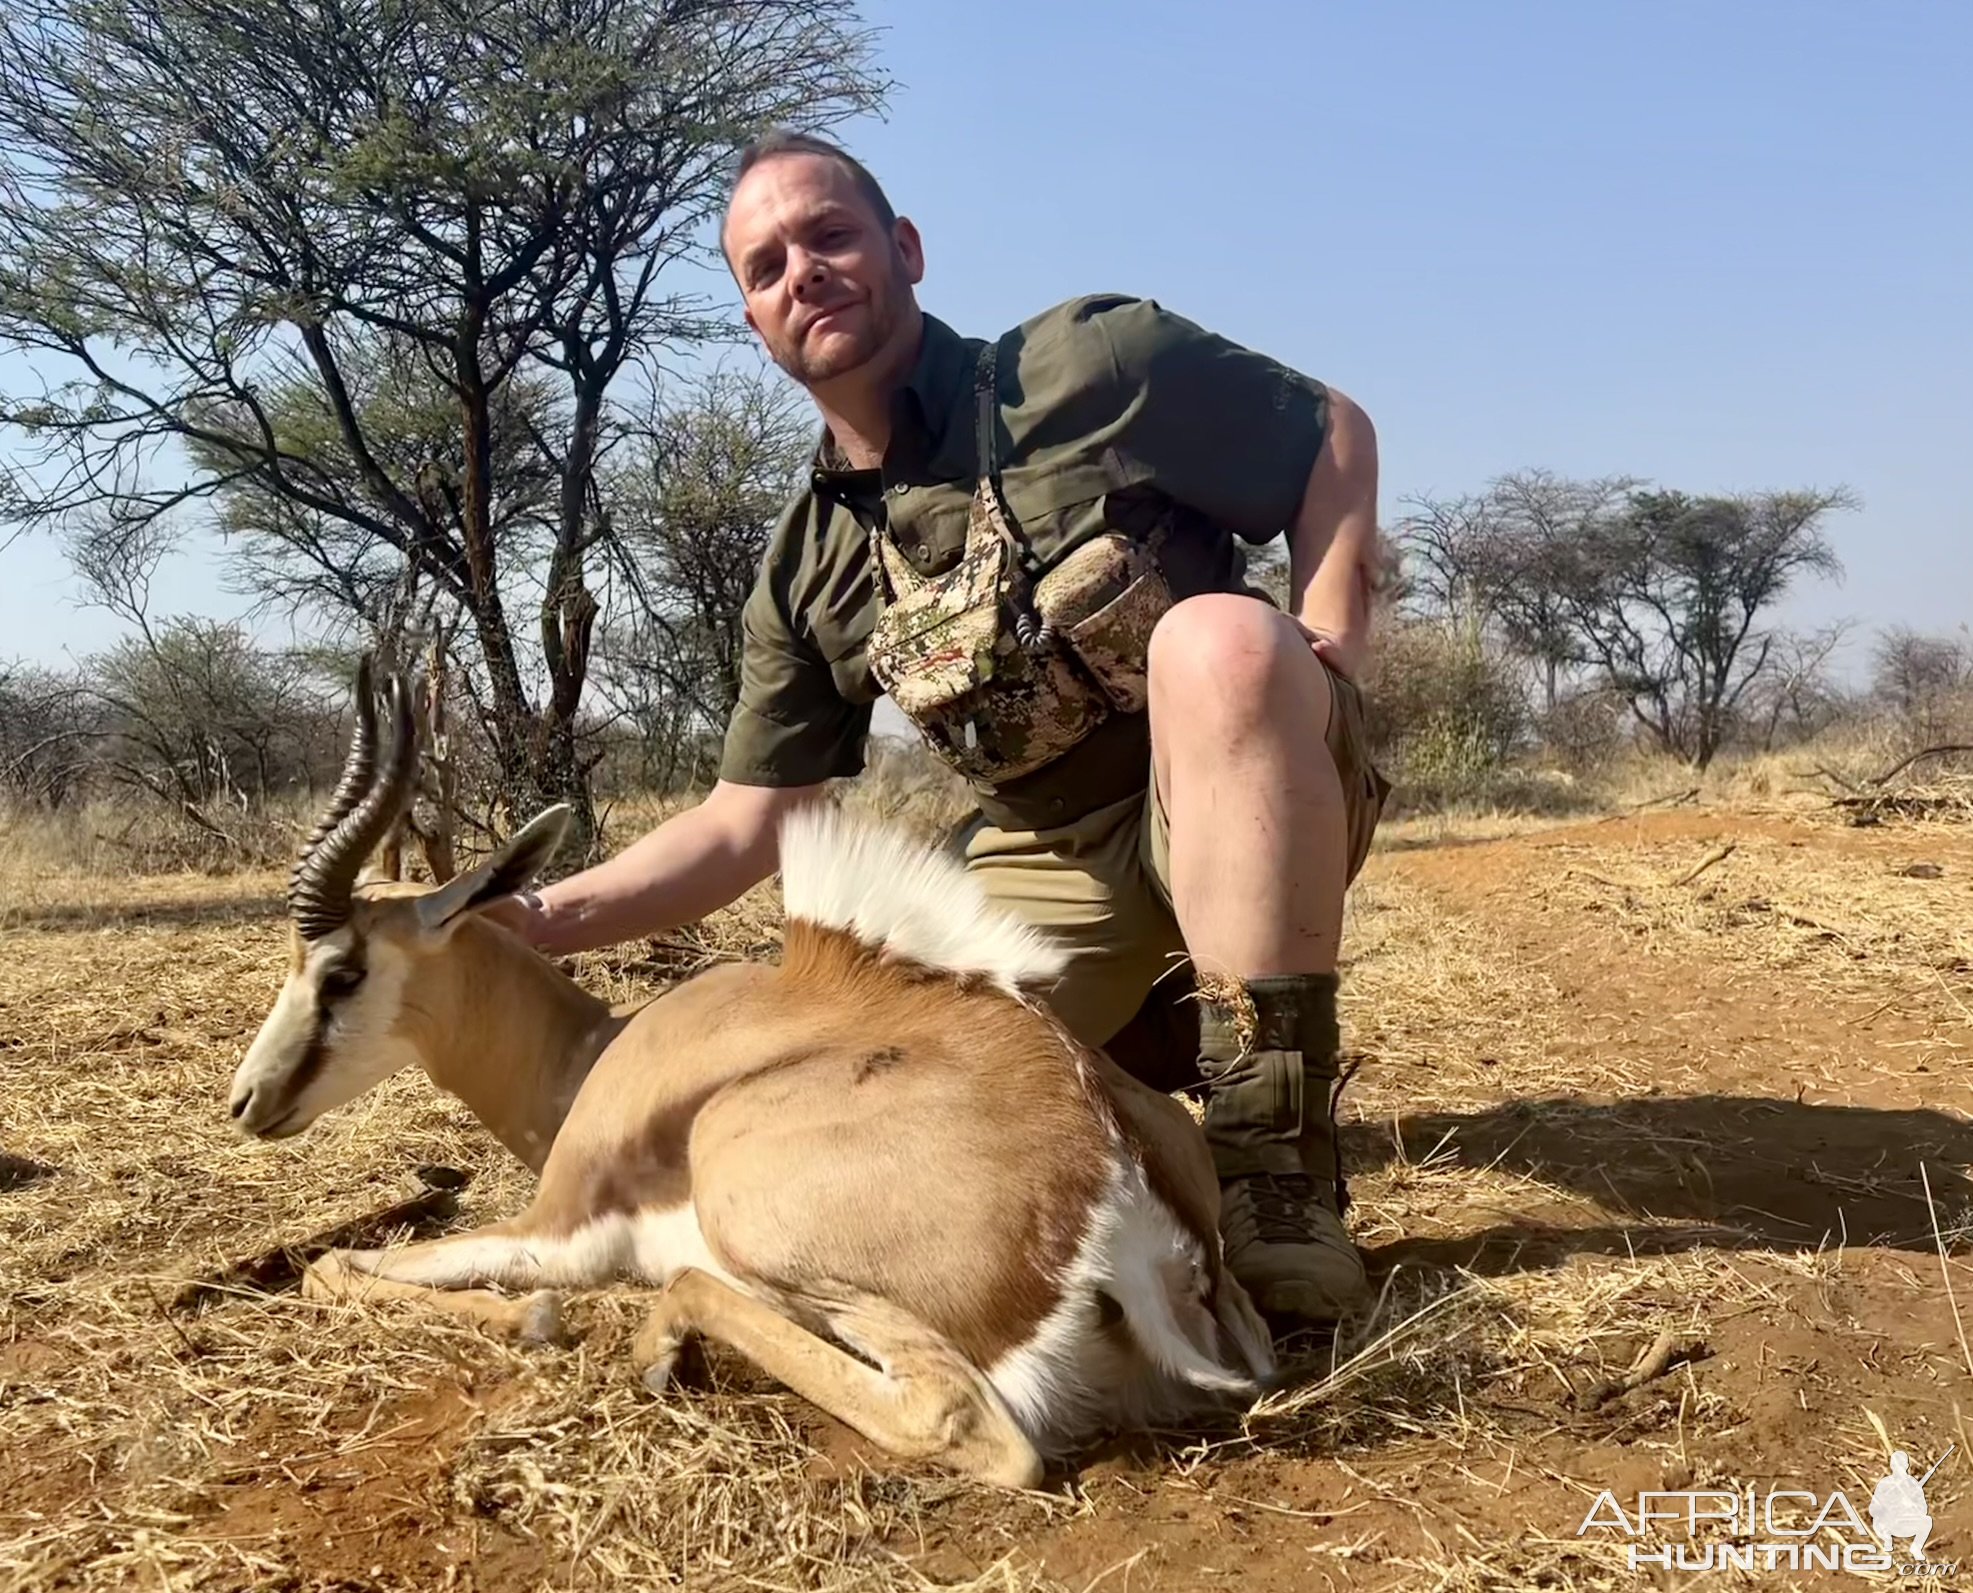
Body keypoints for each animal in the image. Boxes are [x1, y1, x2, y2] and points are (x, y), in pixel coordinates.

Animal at [226, 655, 1278, 1492]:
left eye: (342, 971)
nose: (248, 1101)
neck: (590, 1057)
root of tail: (1125, 1178)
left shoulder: (556, 1232)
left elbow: (333, 1265)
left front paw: (527, 1316)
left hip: (754, 1210)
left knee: (954, 1417)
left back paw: (656, 1345)